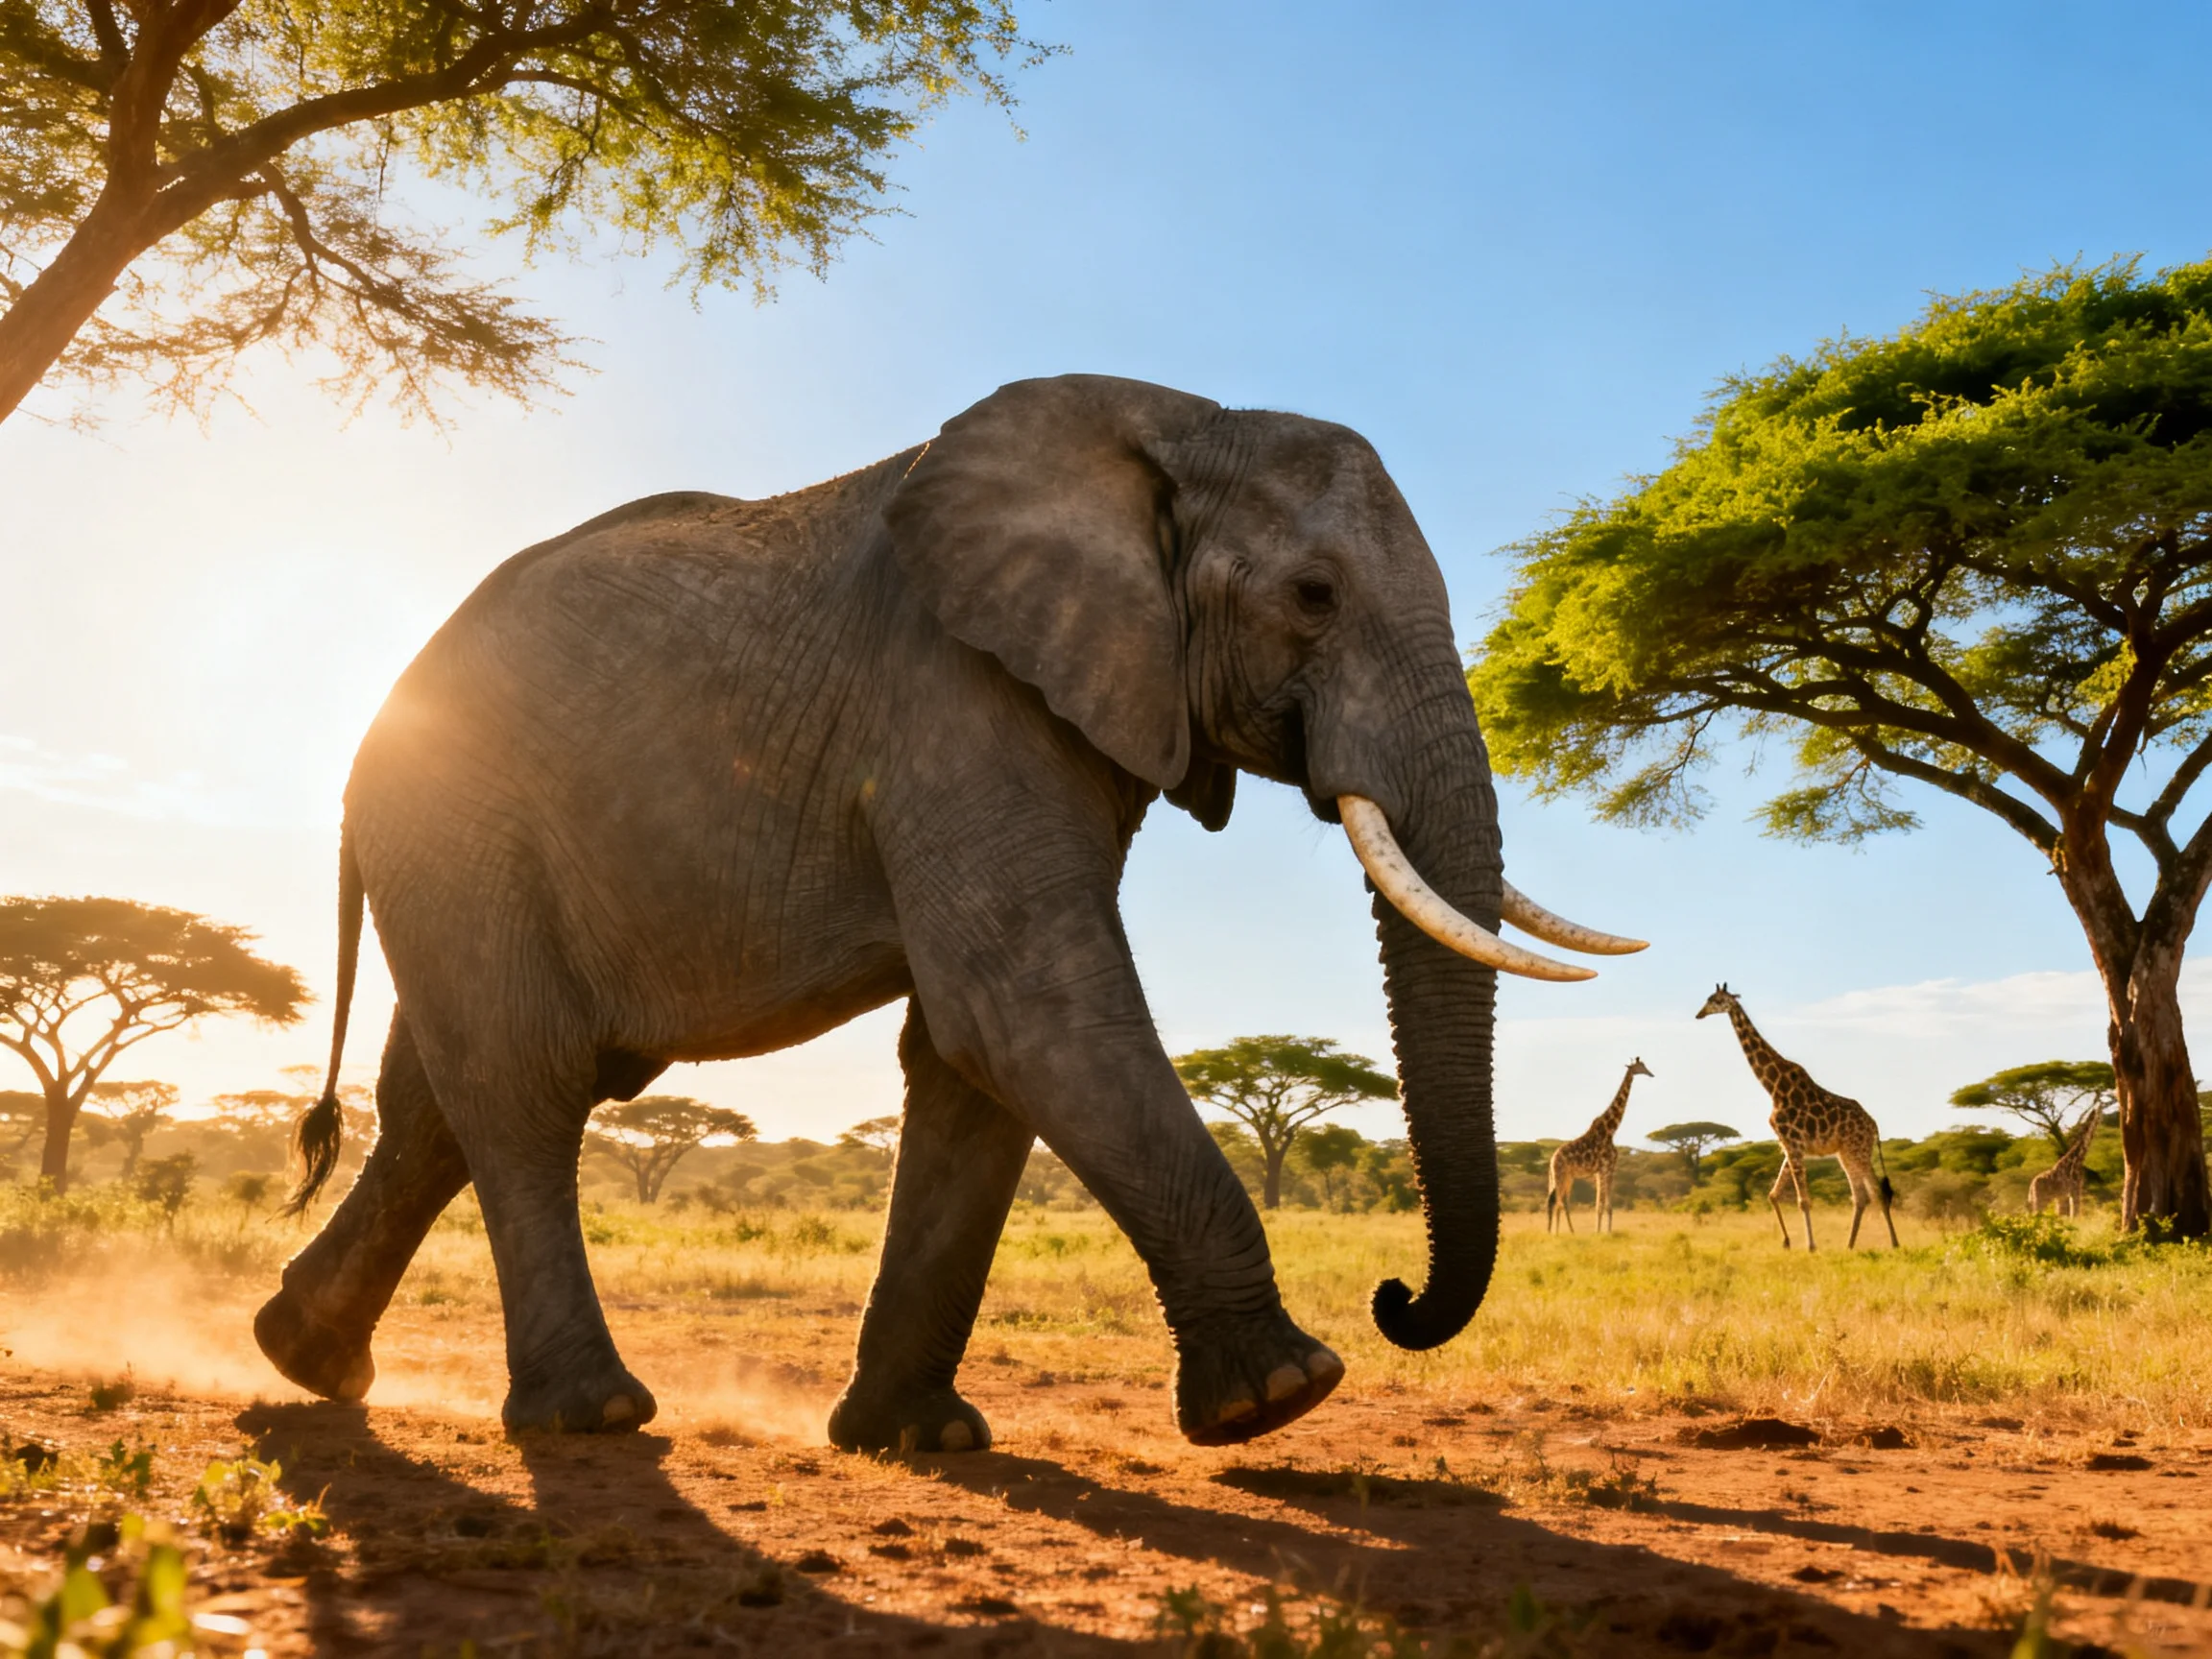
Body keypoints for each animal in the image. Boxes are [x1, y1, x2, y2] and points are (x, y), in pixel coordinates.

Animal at [253, 374, 1642, 1448]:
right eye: (1313, 595)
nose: (1395, 1298)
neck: (1178, 425)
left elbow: (972, 1056)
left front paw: (916, 1440)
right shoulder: (952, 692)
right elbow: (1025, 1009)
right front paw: (1282, 1397)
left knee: (442, 1104)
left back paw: (301, 1359)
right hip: (458, 823)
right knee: (526, 1079)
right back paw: (591, 1417)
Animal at [1546, 1058, 1653, 1234]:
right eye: (1641, 1066)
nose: (1651, 1074)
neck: (1611, 1130)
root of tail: (1552, 1160)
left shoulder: (1605, 1170)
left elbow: (1605, 1206)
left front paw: (1606, 1232)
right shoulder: (1605, 1168)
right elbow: (1601, 1206)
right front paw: (1598, 1233)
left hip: (1561, 1177)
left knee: (1557, 1202)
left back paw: (1562, 1232)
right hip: (1561, 1176)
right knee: (1558, 1203)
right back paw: (1556, 1234)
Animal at [1695, 984, 1898, 1250]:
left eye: (1716, 1000)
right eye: (1709, 999)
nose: (1699, 1014)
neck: (1773, 1087)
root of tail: (1873, 1125)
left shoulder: (1794, 1144)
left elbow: (1802, 1200)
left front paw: (1810, 1246)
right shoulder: (1787, 1145)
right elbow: (1773, 1194)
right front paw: (1787, 1241)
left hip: (1858, 1150)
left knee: (1875, 1192)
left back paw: (1893, 1243)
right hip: (1846, 1152)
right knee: (1862, 1196)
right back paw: (1850, 1245)